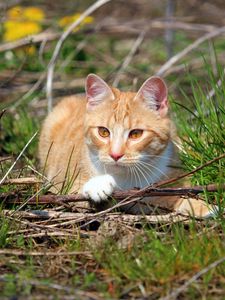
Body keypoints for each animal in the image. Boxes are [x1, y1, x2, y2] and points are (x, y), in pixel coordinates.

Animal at [38, 74, 216, 217]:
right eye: (103, 132)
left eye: (136, 134)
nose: (115, 154)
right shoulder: (65, 186)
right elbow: (74, 193)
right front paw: (98, 184)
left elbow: (183, 196)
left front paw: (205, 207)